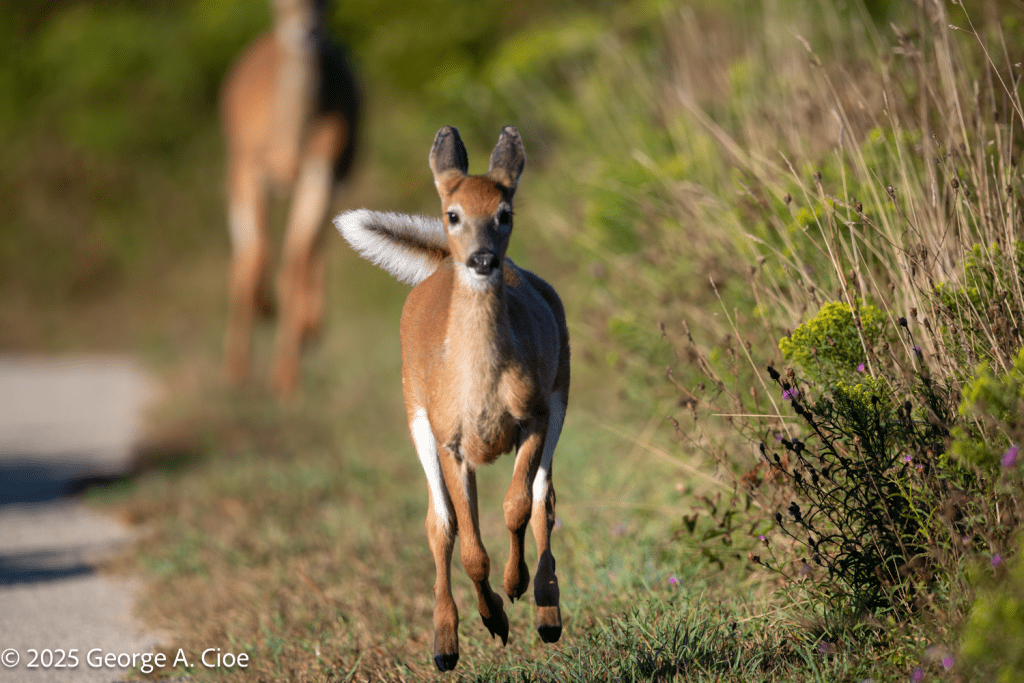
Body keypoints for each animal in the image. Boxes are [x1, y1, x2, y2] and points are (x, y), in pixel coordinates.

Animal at [220, 0, 360, 398]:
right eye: (280, 4)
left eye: (326, 3)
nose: (308, 31)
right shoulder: (249, 169)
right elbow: (257, 256)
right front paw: (263, 312)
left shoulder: (321, 171)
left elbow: (295, 262)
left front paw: (284, 380)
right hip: (236, 172)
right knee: (244, 258)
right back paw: (236, 367)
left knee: (312, 251)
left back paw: (308, 330)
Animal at [334, 126, 570, 672]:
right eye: (453, 213)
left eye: (505, 213)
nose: (483, 260)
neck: (481, 389)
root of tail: (439, 263)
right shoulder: (450, 440)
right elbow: (467, 545)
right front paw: (494, 617)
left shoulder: (537, 413)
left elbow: (518, 505)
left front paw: (515, 587)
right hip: (415, 414)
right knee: (440, 524)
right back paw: (446, 642)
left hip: (562, 392)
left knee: (543, 499)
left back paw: (547, 613)